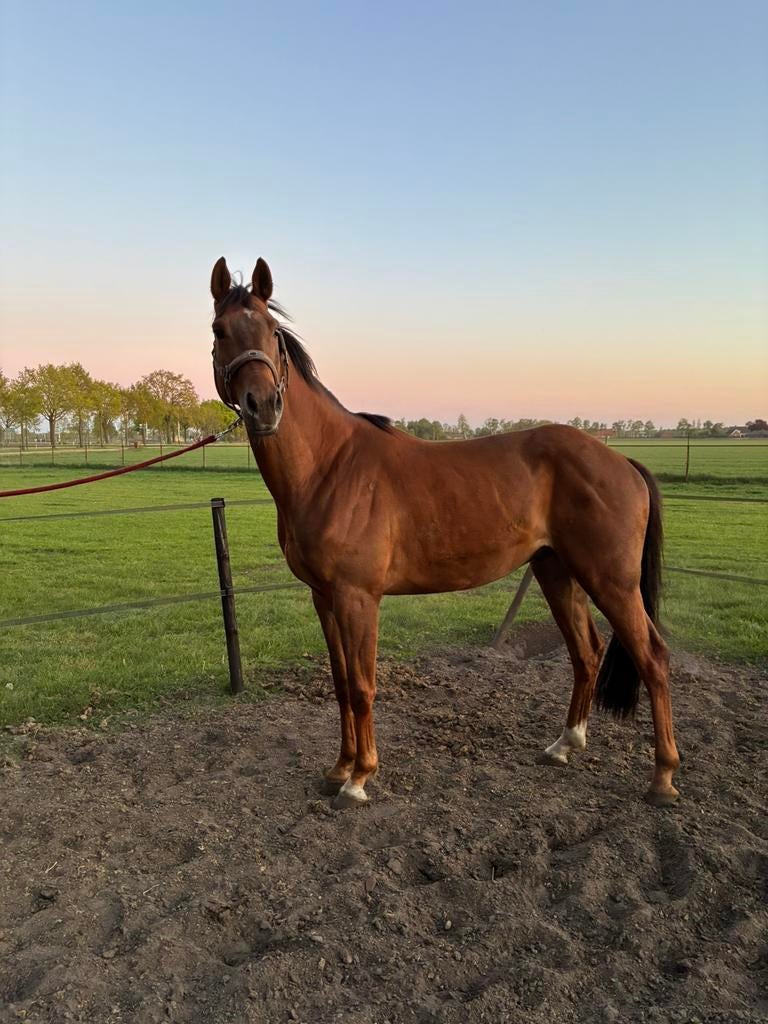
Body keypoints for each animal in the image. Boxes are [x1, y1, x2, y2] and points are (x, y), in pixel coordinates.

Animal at [209, 256, 680, 809]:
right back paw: (565, 745)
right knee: (586, 653)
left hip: (611, 581)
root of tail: (620, 460)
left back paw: (663, 776)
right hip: (556, 571)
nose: (262, 406)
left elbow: (363, 686)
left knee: (653, 658)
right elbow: (342, 683)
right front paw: (339, 767)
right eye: (220, 331)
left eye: (272, 332)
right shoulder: (323, 598)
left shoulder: (357, 598)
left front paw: (359, 778)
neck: (329, 467)